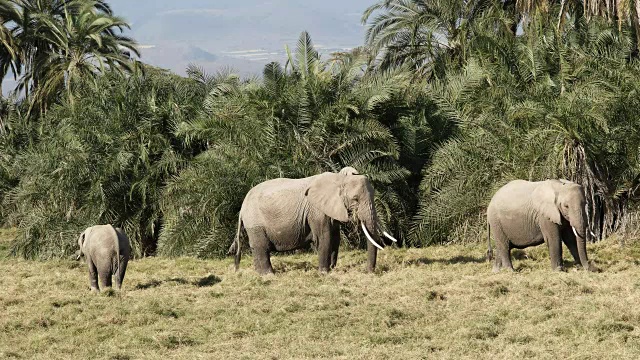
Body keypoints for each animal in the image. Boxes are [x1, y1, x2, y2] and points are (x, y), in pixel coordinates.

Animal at [230, 167, 398, 274]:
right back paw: (269, 275)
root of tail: (242, 206)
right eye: (355, 199)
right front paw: (324, 273)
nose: (368, 272)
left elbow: (335, 238)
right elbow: (324, 237)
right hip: (255, 222)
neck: (339, 178)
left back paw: (259, 274)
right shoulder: (316, 211)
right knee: (261, 247)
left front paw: (332, 269)